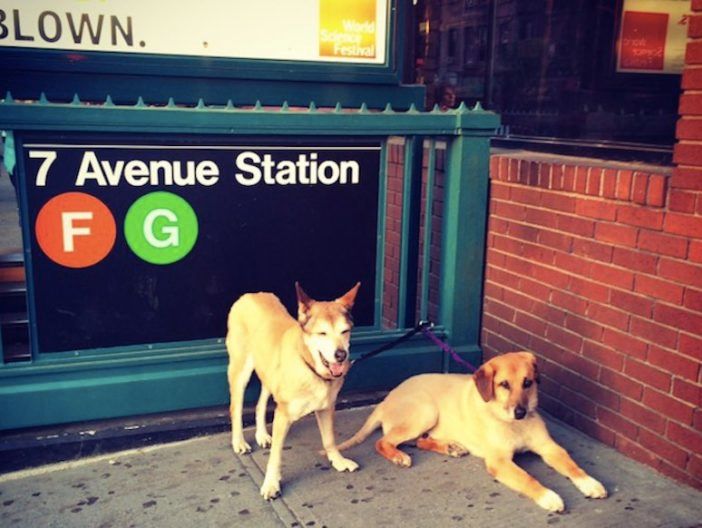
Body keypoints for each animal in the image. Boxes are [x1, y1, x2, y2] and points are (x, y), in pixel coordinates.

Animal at [227, 280, 360, 500]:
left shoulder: (326, 408)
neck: (309, 365)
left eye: (344, 331)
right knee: (235, 408)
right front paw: (271, 483)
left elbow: (329, 440)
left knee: (260, 404)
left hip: (268, 373)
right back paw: (238, 442)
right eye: (322, 333)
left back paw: (261, 435)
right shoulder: (283, 415)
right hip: (240, 371)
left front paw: (338, 461)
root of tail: (250, 295)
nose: (341, 355)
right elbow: (276, 456)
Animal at [338, 350, 608, 512]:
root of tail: (386, 399)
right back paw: (399, 456)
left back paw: (451, 447)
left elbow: (572, 465)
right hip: (426, 410)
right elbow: (527, 478)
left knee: (421, 441)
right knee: (383, 442)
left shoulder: (549, 447)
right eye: (504, 385)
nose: (520, 412)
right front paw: (548, 496)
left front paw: (590, 482)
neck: (513, 424)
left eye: (528, 383)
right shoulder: (499, 461)